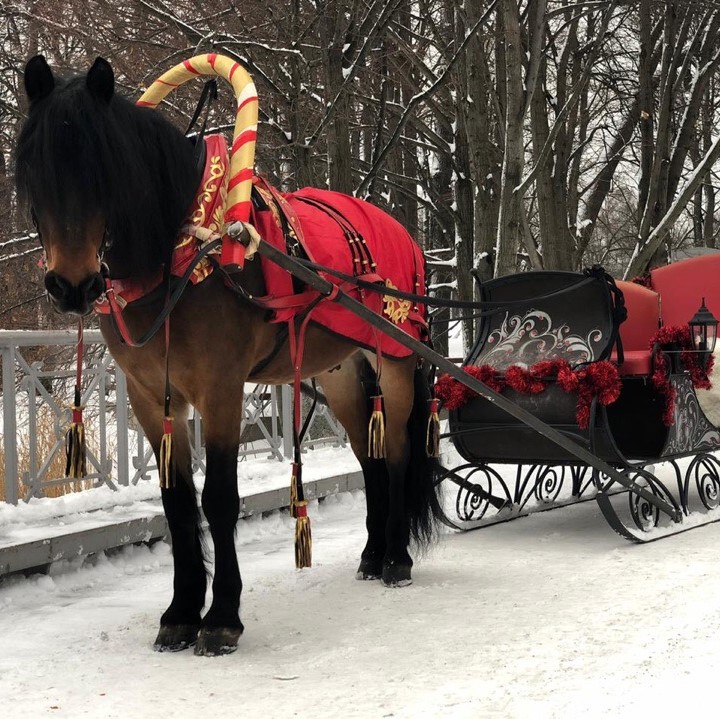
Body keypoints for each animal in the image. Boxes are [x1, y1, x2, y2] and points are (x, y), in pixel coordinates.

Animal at [15, 57, 444, 660]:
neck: (186, 253)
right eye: (34, 170)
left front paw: (220, 618)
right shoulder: (149, 396)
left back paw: (398, 559)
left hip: (398, 360)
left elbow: (218, 497)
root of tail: (402, 232)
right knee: (371, 458)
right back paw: (372, 554)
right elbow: (176, 501)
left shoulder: (221, 388)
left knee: (400, 453)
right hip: (340, 374)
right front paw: (179, 613)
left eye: (104, 167)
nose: (71, 285)